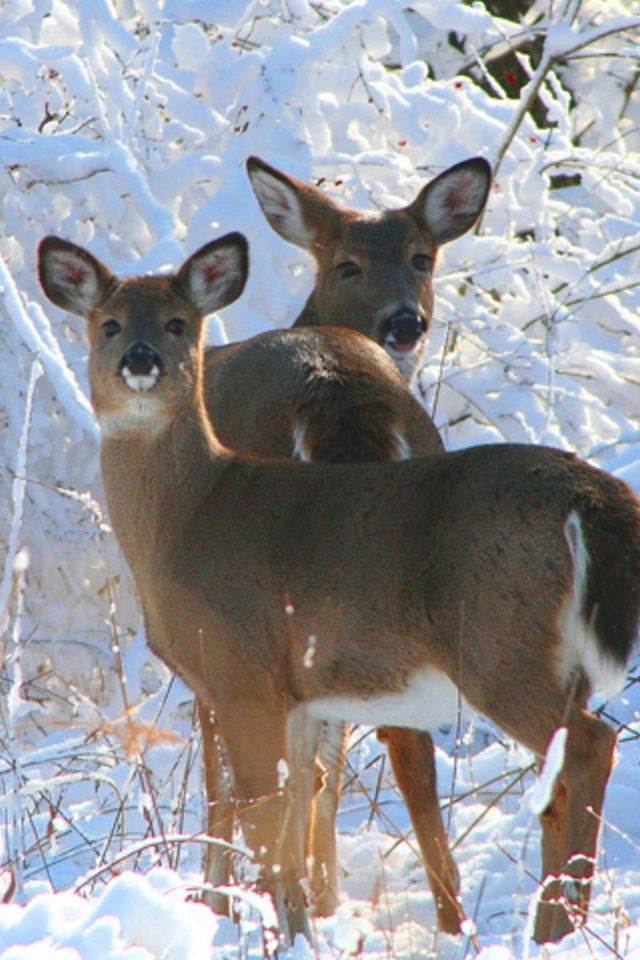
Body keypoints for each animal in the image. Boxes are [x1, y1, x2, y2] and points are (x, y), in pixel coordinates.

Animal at [38, 231, 640, 944]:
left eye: (178, 323)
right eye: (108, 324)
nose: (140, 358)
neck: (186, 520)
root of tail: (594, 497)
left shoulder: (240, 673)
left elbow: (256, 814)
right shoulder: (296, 692)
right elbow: (294, 813)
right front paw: (299, 929)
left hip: (498, 645)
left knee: (591, 746)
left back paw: (560, 927)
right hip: (545, 658)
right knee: (559, 777)